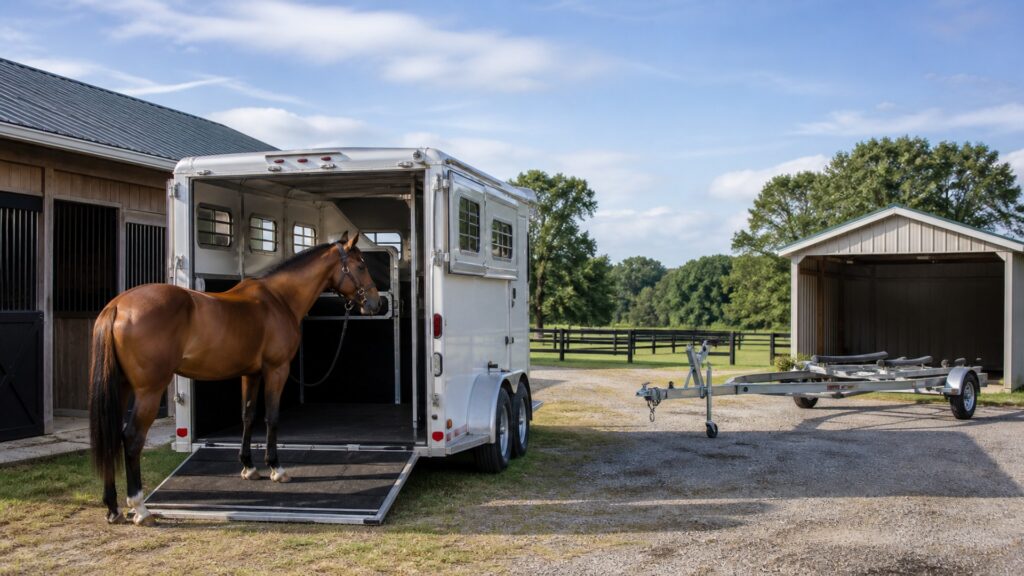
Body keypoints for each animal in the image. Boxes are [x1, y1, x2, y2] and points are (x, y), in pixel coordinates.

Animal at [88, 230, 380, 525]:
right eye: (361, 265)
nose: (376, 303)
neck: (279, 299)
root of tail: (117, 306)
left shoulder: (250, 373)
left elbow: (248, 416)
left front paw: (249, 467)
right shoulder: (276, 370)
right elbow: (271, 417)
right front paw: (276, 468)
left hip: (122, 387)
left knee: (112, 436)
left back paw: (113, 508)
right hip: (149, 389)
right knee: (132, 438)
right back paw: (140, 508)